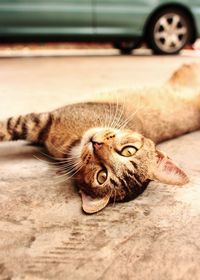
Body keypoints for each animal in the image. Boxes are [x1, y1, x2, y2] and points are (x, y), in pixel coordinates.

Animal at [0, 63, 200, 212]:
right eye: (129, 151)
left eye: (102, 176)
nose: (96, 144)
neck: (71, 145)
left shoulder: (40, 122)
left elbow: (6, 127)